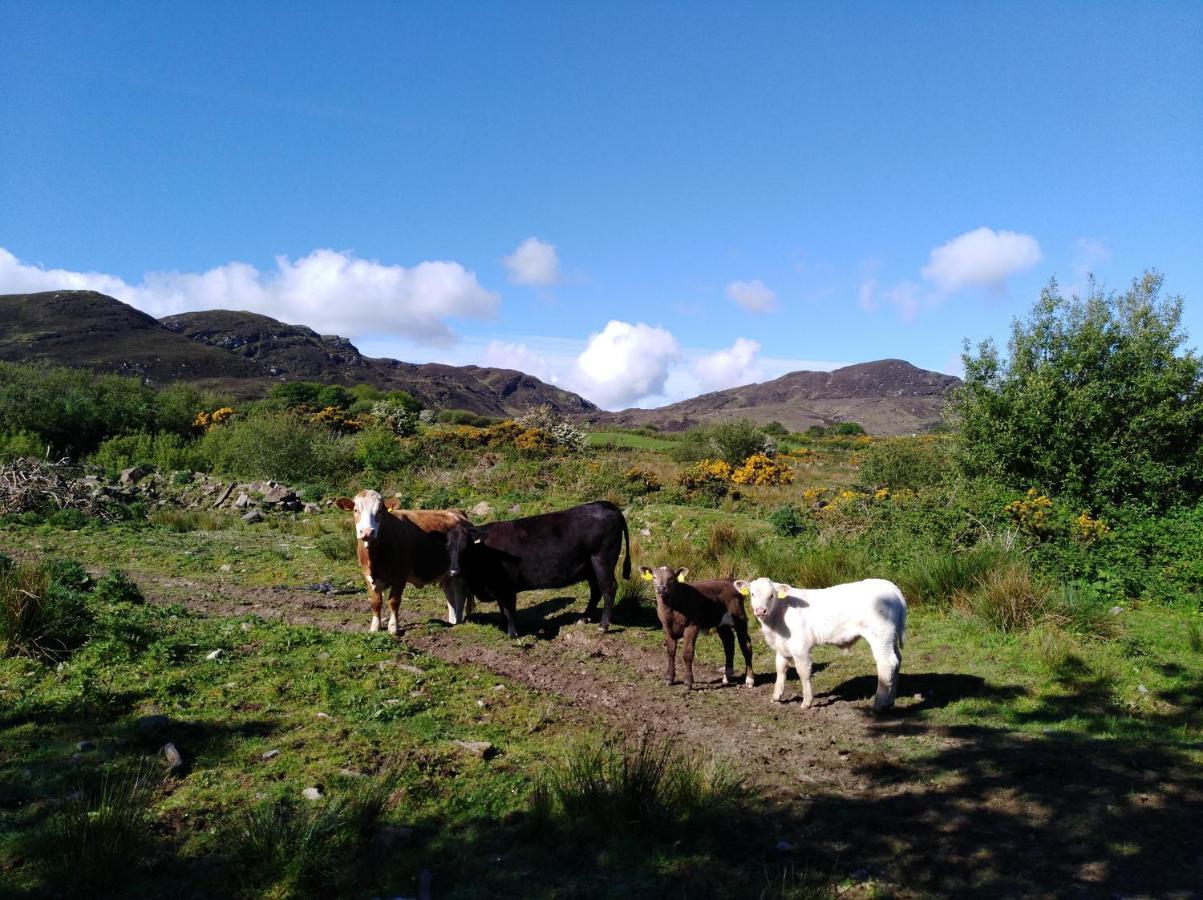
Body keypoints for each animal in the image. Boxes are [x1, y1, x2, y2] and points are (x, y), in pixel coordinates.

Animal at [339, 493, 473, 630]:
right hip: (447, 574)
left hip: (461, 571)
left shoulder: (400, 576)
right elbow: (376, 602)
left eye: (379, 511)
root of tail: (457, 512)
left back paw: (458, 622)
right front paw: (375, 627)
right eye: (356, 510)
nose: (367, 532)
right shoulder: (367, 576)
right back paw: (452, 622)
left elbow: (393, 601)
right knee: (450, 596)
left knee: (460, 595)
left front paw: (393, 627)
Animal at [639, 565, 750, 693]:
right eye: (654, 577)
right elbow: (670, 651)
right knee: (729, 643)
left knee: (746, 644)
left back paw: (749, 680)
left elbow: (687, 653)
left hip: (740, 618)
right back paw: (727, 676)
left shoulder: (692, 626)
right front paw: (669, 679)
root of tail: (731, 581)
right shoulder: (666, 627)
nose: (661, 588)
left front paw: (688, 683)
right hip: (722, 623)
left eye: (671, 578)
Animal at [736, 579, 904, 712]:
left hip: (880, 635)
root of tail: (891, 587)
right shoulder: (782, 646)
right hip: (890, 637)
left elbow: (803, 672)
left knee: (887, 664)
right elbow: (781, 669)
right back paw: (890, 701)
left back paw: (879, 705)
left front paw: (806, 702)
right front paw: (776, 696)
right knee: (897, 661)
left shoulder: (800, 646)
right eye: (752, 594)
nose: (760, 610)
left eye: (771, 595)